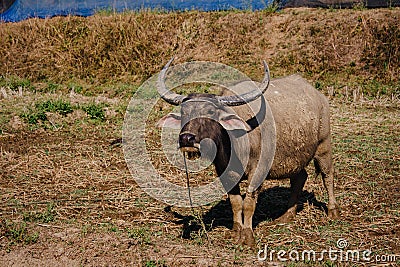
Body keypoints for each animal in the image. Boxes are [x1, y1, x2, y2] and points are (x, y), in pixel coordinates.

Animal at [156, 58, 338, 247]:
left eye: (211, 112)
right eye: (184, 111)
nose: (186, 138)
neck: (235, 142)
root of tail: (318, 96)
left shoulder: (258, 172)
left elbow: (249, 204)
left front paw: (248, 236)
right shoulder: (224, 172)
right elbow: (236, 202)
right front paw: (236, 231)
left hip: (324, 146)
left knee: (328, 175)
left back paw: (332, 211)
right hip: (295, 158)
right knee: (300, 177)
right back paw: (287, 215)